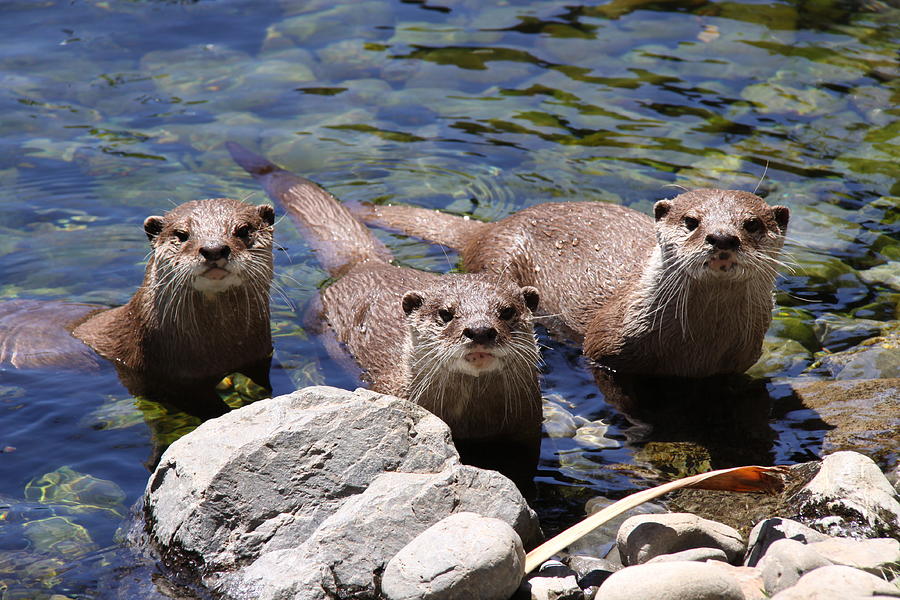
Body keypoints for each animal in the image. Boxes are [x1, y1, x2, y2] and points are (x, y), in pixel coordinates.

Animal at [0, 199, 276, 414]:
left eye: (243, 229)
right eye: (181, 234)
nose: (214, 249)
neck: (221, 350)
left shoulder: (260, 360)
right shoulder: (173, 382)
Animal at [227, 142, 540, 488]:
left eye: (507, 311)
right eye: (446, 313)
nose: (481, 330)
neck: (474, 422)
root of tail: (364, 262)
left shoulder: (527, 432)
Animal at [356, 190, 792, 376]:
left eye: (752, 224)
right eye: (691, 221)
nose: (722, 237)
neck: (696, 347)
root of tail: (490, 229)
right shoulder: (606, 351)